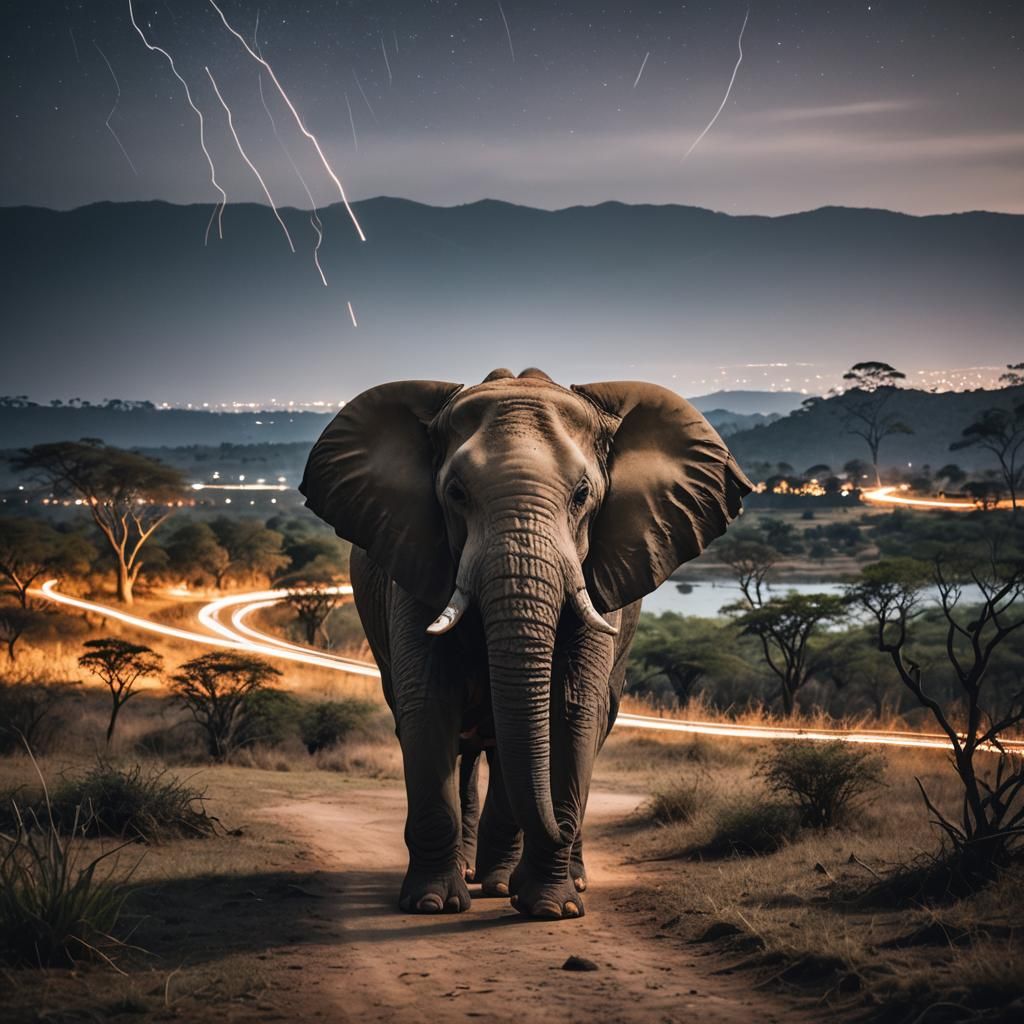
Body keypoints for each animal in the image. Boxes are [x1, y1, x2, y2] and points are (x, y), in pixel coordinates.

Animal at [299, 367, 751, 920]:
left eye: (582, 494)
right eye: (455, 493)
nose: (561, 827)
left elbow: (573, 709)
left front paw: (552, 908)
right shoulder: (415, 563)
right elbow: (428, 704)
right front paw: (432, 904)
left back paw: (512, 881)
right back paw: (482, 877)